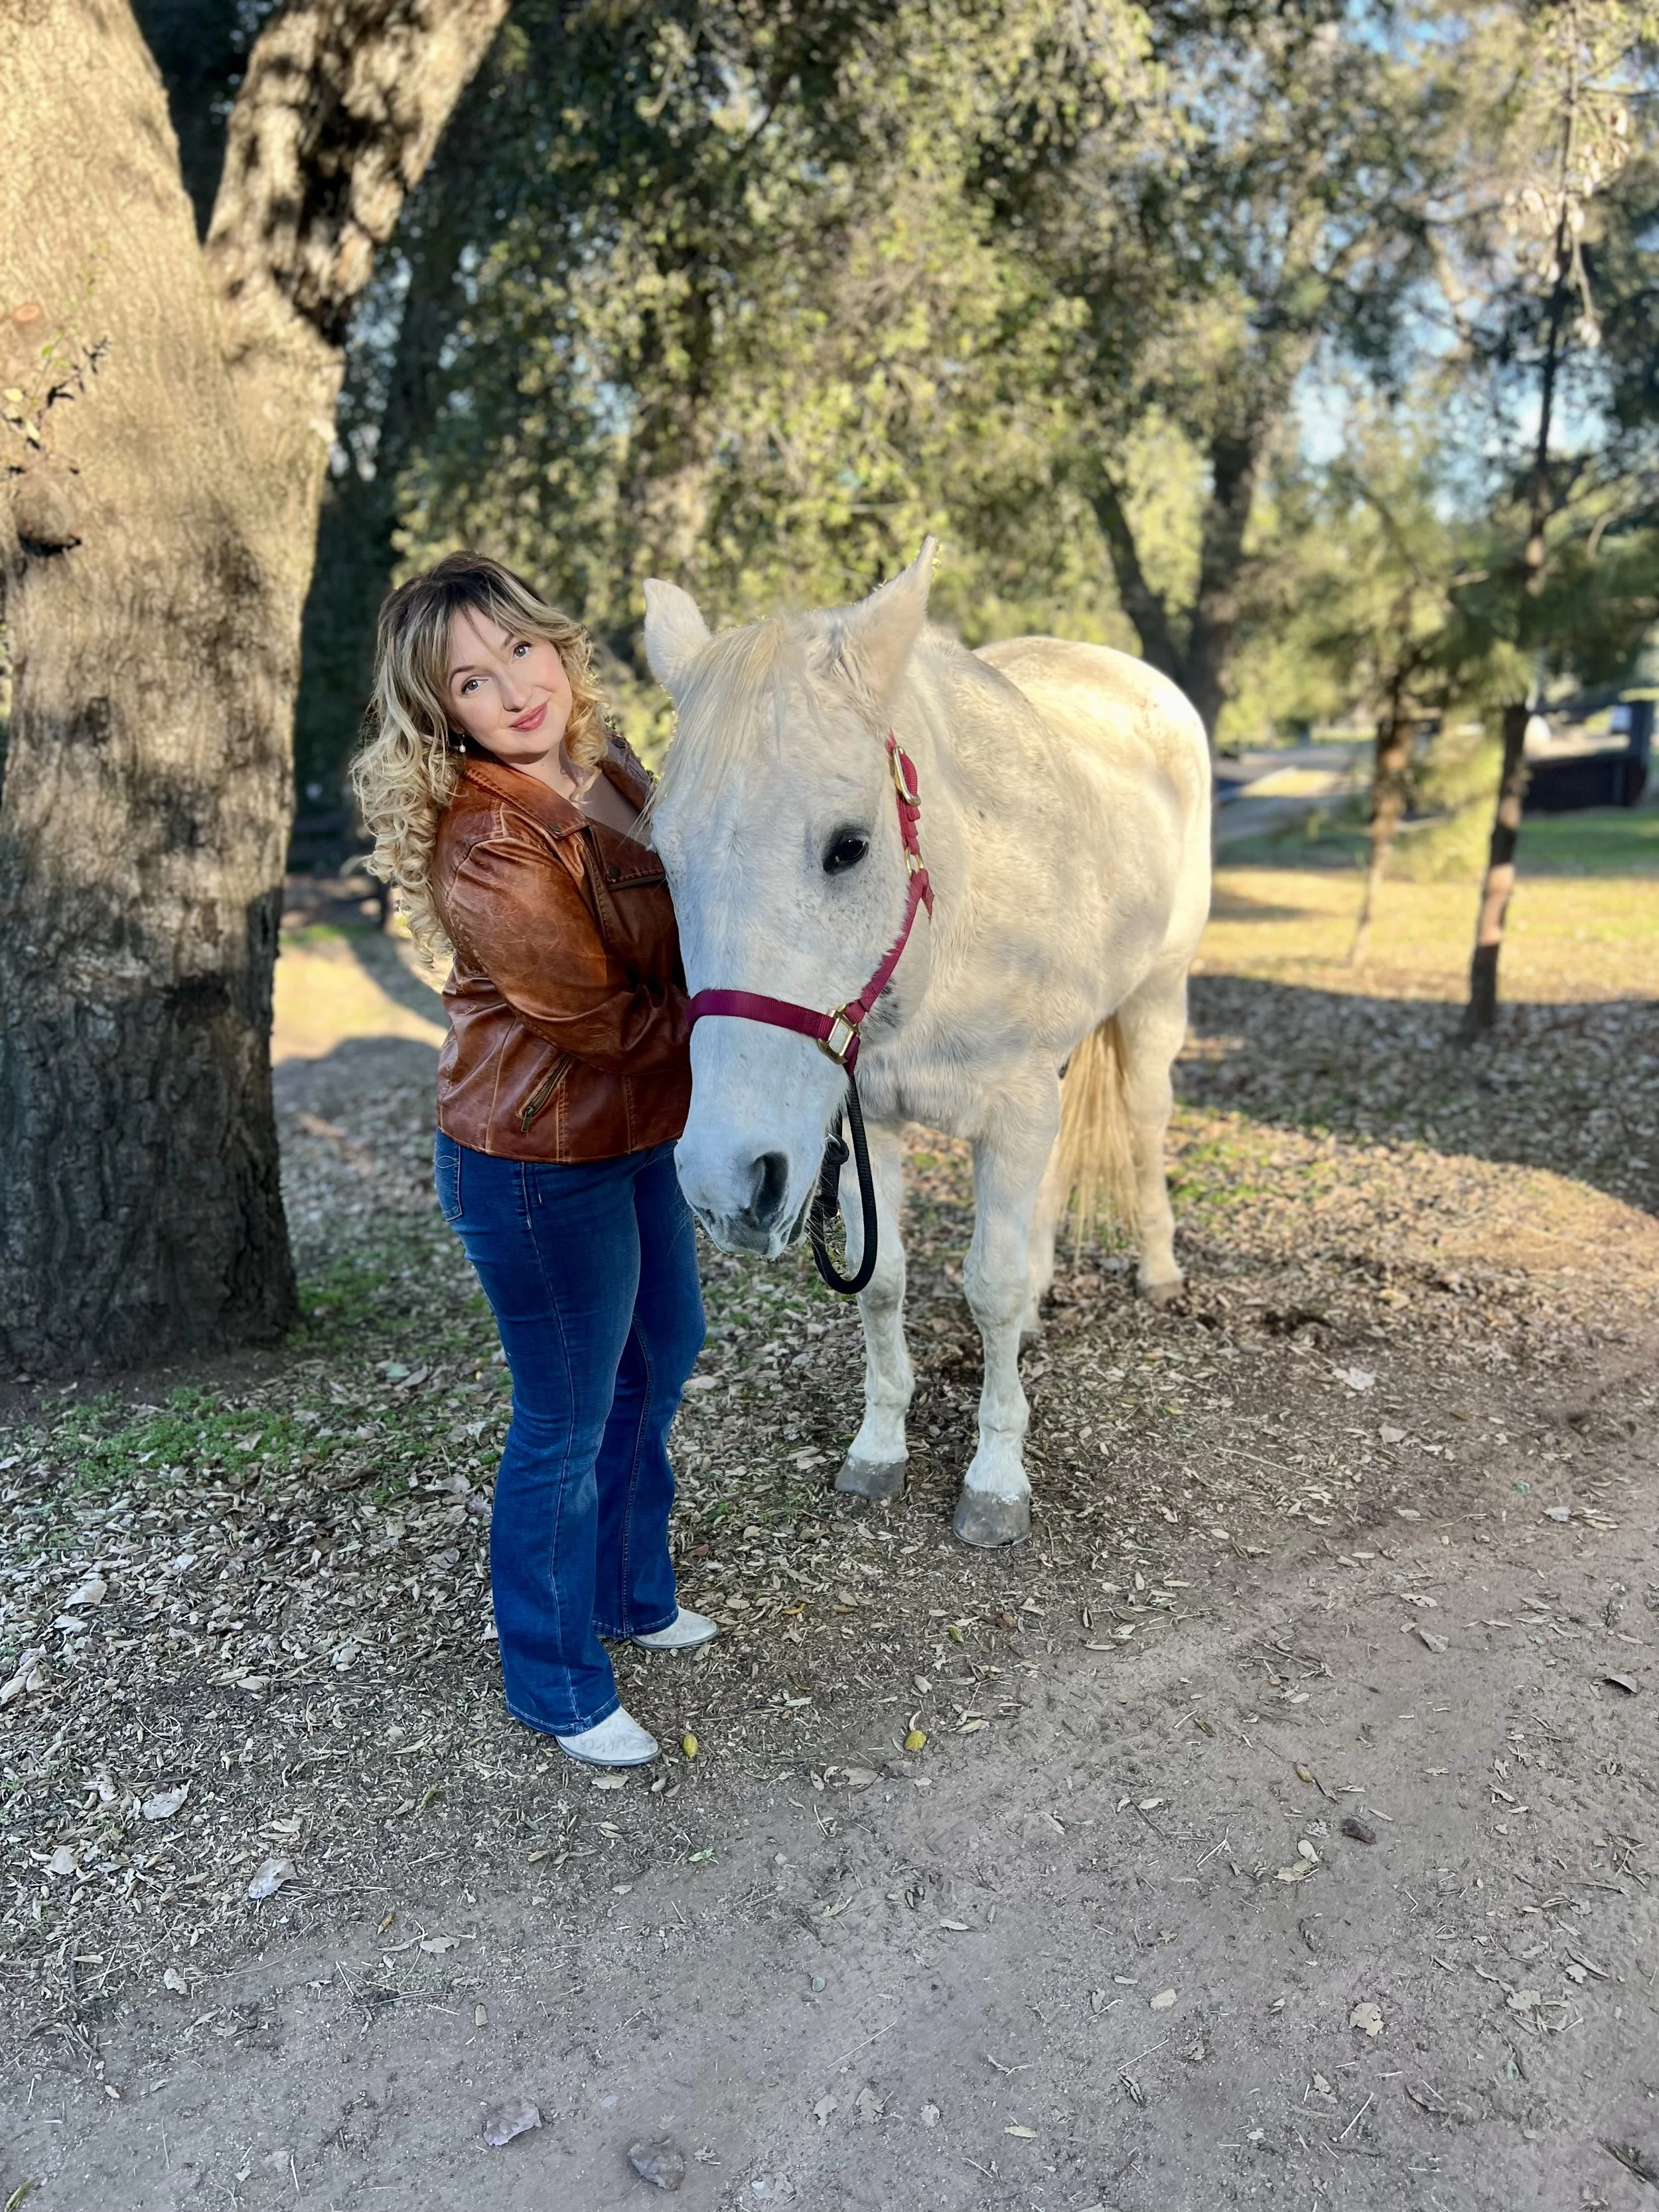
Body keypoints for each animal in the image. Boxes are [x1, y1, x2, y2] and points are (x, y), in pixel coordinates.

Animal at [642, 539, 1211, 1548]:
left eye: (848, 846)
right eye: (665, 861)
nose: (724, 1183)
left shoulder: (1014, 1109)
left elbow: (989, 1284)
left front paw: (995, 1476)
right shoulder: (873, 1124)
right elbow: (885, 1280)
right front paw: (879, 1447)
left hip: (1155, 1001)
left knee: (1145, 1126)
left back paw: (1157, 1268)